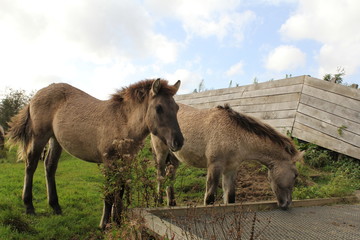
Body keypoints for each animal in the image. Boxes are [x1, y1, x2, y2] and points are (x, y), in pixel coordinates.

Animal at [7, 79, 184, 229]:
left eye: (176, 108)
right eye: (159, 108)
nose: (178, 142)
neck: (122, 122)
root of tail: (36, 95)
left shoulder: (124, 162)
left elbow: (119, 191)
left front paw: (117, 222)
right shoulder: (109, 161)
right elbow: (109, 193)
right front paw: (104, 224)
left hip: (55, 139)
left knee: (49, 167)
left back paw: (56, 207)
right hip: (39, 136)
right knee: (31, 165)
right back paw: (29, 206)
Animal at [152, 103, 300, 210]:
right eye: (295, 175)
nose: (287, 203)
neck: (235, 133)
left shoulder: (231, 169)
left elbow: (230, 198)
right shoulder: (214, 166)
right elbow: (209, 198)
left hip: (174, 157)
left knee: (170, 178)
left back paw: (171, 203)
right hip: (161, 154)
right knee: (160, 176)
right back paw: (158, 202)